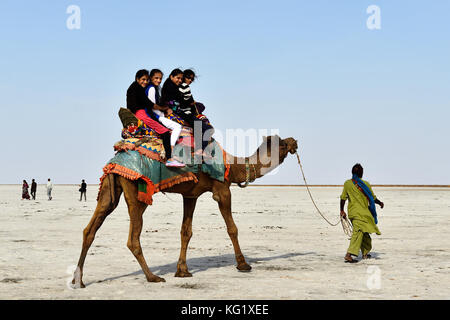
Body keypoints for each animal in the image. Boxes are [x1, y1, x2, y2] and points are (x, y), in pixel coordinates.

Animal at [72, 135, 298, 288]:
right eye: (283, 144)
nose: (294, 141)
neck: (233, 167)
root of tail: (115, 162)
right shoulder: (222, 189)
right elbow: (232, 228)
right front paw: (243, 265)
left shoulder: (191, 195)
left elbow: (185, 232)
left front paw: (183, 271)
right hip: (137, 190)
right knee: (133, 238)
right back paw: (152, 277)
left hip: (110, 189)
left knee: (89, 229)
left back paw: (78, 280)